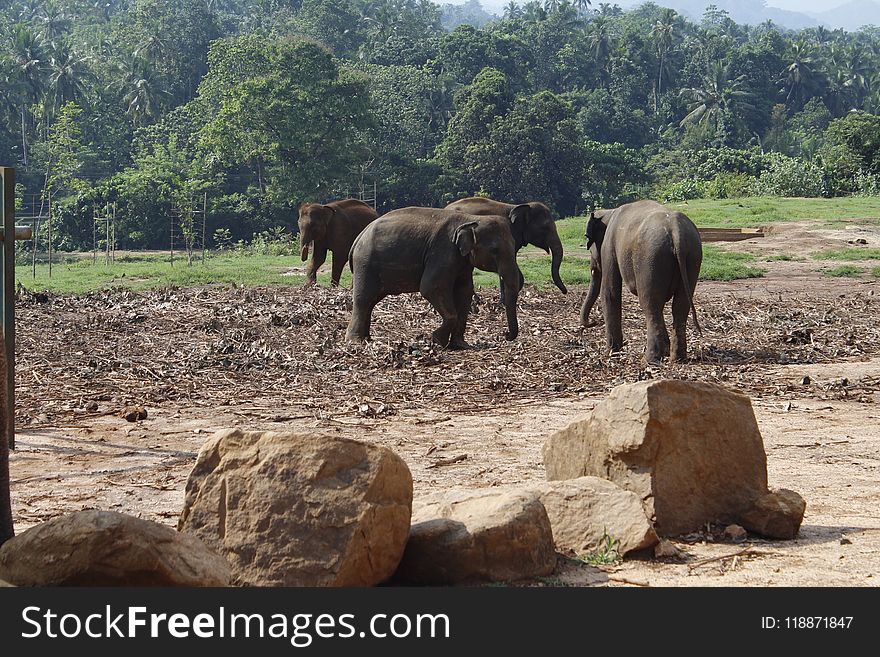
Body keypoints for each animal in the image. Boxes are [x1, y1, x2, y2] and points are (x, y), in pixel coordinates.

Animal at [346, 209, 524, 348]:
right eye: (495, 250)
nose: (505, 334)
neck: (470, 219)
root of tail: (358, 238)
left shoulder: (462, 261)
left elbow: (464, 291)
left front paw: (461, 345)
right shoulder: (443, 252)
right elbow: (431, 287)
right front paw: (437, 340)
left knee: (371, 301)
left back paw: (367, 339)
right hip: (365, 264)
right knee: (363, 299)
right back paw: (356, 341)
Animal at [580, 200, 704, 364]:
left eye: (589, 241)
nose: (594, 321)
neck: (609, 212)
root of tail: (676, 230)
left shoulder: (609, 246)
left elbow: (610, 291)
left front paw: (611, 352)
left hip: (651, 259)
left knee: (650, 304)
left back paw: (649, 360)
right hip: (692, 256)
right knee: (679, 306)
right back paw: (677, 359)